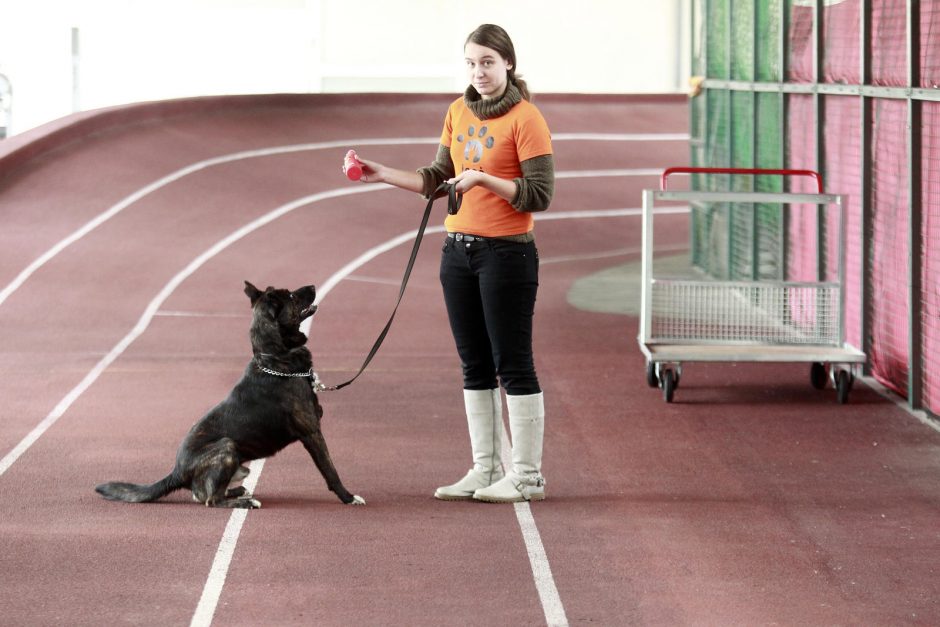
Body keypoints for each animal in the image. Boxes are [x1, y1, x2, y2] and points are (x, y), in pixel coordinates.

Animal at [95, 282, 366, 508]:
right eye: (290, 295)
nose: (311, 285)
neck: (275, 359)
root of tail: (176, 472)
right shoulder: (311, 432)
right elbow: (330, 470)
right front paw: (348, 497)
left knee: (202, 494)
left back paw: (239, 492)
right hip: (227, 447)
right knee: (210, 500)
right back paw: (244, 502)